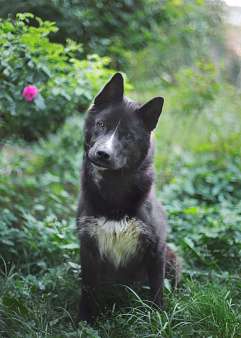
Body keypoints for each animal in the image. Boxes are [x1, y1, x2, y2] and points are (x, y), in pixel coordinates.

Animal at [76, 73, 180, 324]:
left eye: (128, 136)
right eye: (101, 124)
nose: (102, 154)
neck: (113, 187)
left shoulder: (155, 251)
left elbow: (157, 291)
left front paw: (159, 320)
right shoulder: (88, 249)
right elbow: (87, 290)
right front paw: (84, 320)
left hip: (171, 258)